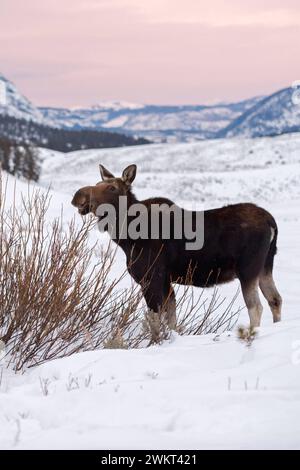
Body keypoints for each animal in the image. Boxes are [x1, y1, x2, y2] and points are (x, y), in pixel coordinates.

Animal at [71, 164, 282, 330]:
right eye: (97, 184)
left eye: (112, 187)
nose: (78, 196)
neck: (125, 237)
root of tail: (272, 223)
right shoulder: (166, 281)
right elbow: (171, 319)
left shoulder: (152, 278)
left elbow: (156, 321)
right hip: (265, 267)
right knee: (275, 300)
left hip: (248, 269)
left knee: (256, 307)